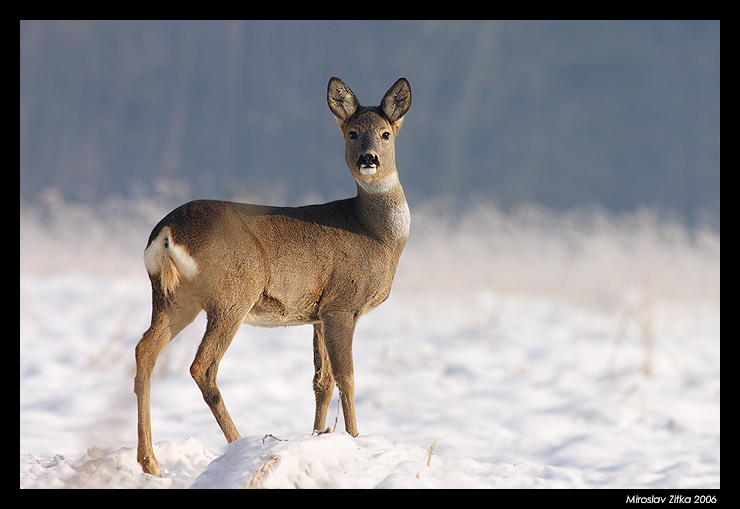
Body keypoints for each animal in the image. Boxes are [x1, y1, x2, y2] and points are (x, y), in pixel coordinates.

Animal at [133, 77, 410, 474]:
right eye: (353, 132)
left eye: (386, 133)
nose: (368, 159)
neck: (375, 233)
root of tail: (168, 232)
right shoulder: (342, 304)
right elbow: (348, 378)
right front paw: (356, 441)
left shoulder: (316, 313)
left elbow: (321, 382)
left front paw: (319, 436)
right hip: (234, 293)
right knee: (203, 366)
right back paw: (238, 443)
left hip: (173, 297)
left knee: (145, 350)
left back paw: (150, 462)